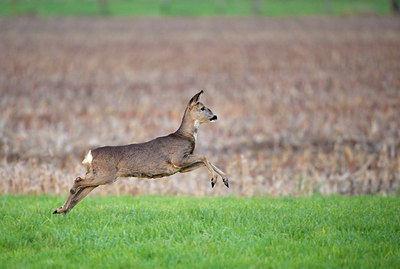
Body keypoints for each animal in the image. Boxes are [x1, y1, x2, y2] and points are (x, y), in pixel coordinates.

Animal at [53, 90, 228, 214]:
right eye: (202, 108)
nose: (215, 116)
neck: (185, 136)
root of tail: (89, 155)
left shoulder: (181, 168)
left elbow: (204, 161)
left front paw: (225, 179)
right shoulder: (177, 158)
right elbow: (204, 156)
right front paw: (214, 180)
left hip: (98, 175)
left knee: (81, 188)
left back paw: (61, 210)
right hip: (106, 174)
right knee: (77, 181)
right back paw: (62, 210)